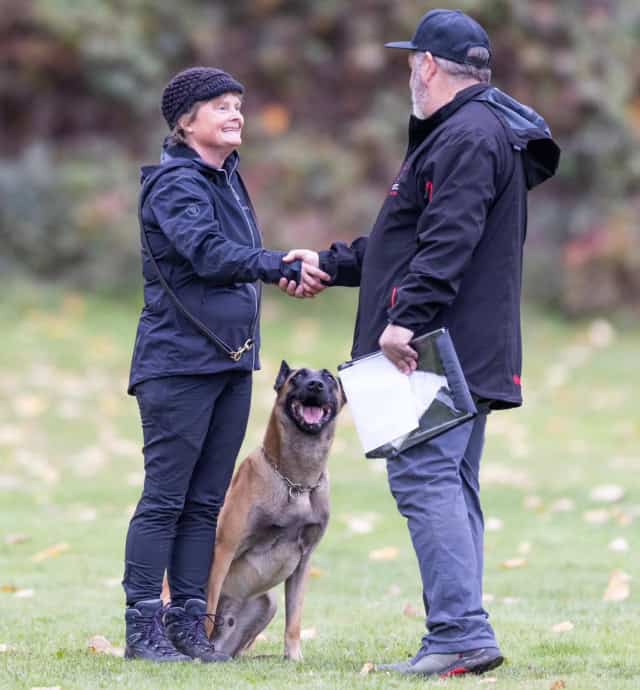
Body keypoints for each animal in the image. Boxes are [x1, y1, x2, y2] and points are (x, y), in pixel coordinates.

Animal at [204, 358, 344, 660]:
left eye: (328, 378)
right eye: (298, 376)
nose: (315, 385)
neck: (297, 483)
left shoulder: (304, 561)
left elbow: (295, 619)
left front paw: (294, 657)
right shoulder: (224, 549)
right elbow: (207, 604)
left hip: (267, 604)